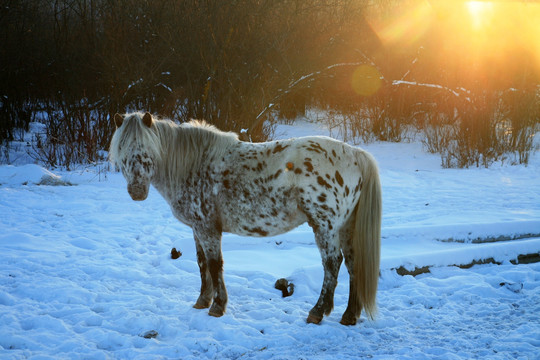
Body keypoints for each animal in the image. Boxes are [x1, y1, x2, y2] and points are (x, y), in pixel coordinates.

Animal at [107, 111, 382, 324]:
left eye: (146, 149)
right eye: (121, 149)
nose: (136, 192)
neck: (194, 166)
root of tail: (356, 154)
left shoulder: (208, 228)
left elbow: (215, 265)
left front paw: (217, 307)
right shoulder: (197, 228)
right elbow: (202, 264)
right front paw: (201, 301)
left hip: (325, 227)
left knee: (332, 264)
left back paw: (317, 312)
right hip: (345, 227)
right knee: (353, 264)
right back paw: (349, 315)